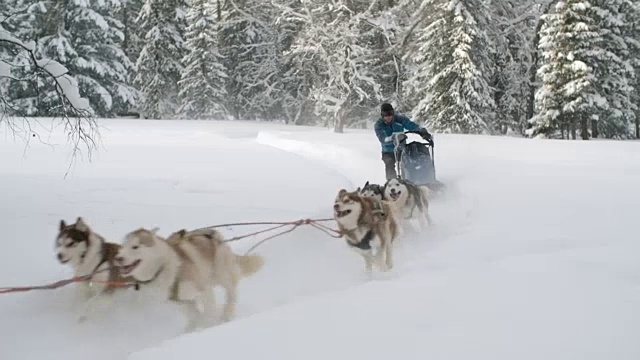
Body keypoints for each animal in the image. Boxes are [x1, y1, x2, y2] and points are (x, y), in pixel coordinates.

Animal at [114, 228, 262, 332]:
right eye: (122, 247)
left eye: (135, 246)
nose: (118, 258)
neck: (165, 267)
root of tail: (212, 232)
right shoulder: (181, 301)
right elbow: (195, 315)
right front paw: (194, 326)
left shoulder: (203, 289)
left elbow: (209, 312)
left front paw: (210, 324)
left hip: (222, 274)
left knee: (232, 292)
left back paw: (227, 313)